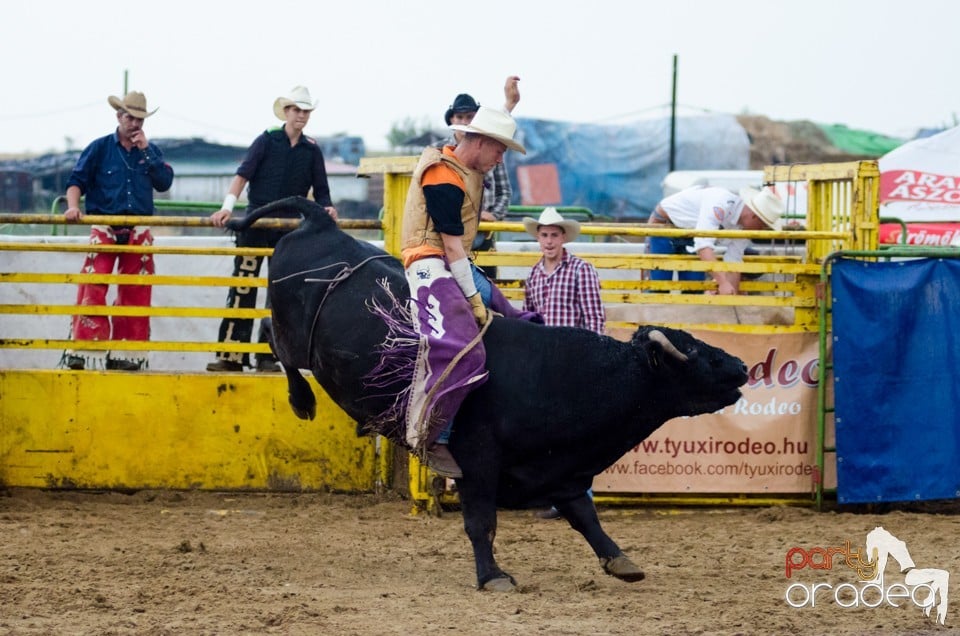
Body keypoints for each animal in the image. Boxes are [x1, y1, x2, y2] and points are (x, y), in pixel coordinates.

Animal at [227, 198, 752, 592]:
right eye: (698, 354)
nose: (743, 366)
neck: (557, 374)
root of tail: (320, 223)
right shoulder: (477, 458)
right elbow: (481, 521)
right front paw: (493, 576)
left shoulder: (559, 468)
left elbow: (585, 515)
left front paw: (620, 560)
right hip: (295, 335)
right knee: (275, 341)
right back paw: (302, 401)